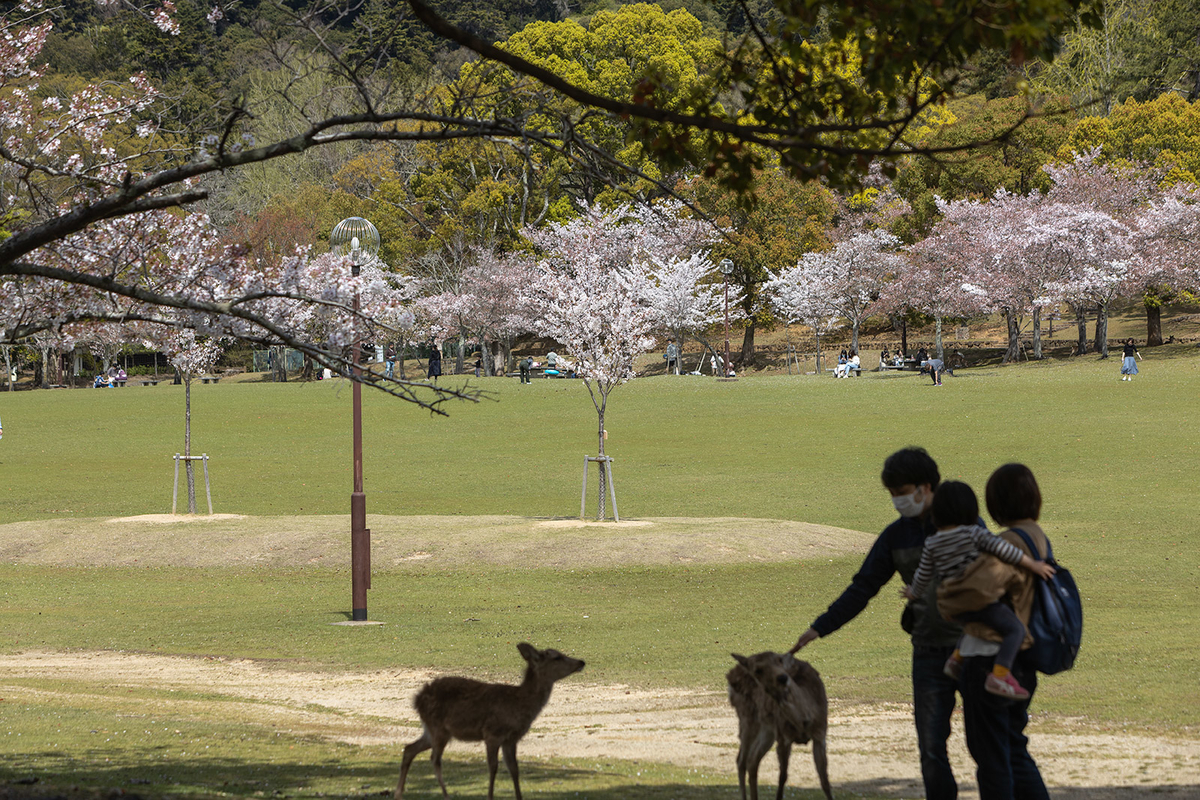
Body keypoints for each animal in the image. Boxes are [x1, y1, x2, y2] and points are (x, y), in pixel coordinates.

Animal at [396, 642, 583, 800]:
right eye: (557, 657)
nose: (581, 662)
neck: (520, 704)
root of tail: (417, 699)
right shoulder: (492, 733)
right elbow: (493, 767)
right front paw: (490, 796)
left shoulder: (511, 739)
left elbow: (514, 768)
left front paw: (519, 797)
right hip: (438, 728)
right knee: (434, 759)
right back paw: (446, 795)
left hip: (432, 730)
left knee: (409, 748)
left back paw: (399, 793)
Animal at [724, 652, 830, 800]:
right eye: (757, 670)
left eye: (780, 661)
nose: (782, 677)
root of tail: (731, 674)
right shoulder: (783, 737)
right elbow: (782, 778)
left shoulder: (820, 734)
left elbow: (824, 779)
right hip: (747, 718)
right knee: (741, 760)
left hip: (768, 730)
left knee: (752, 760)